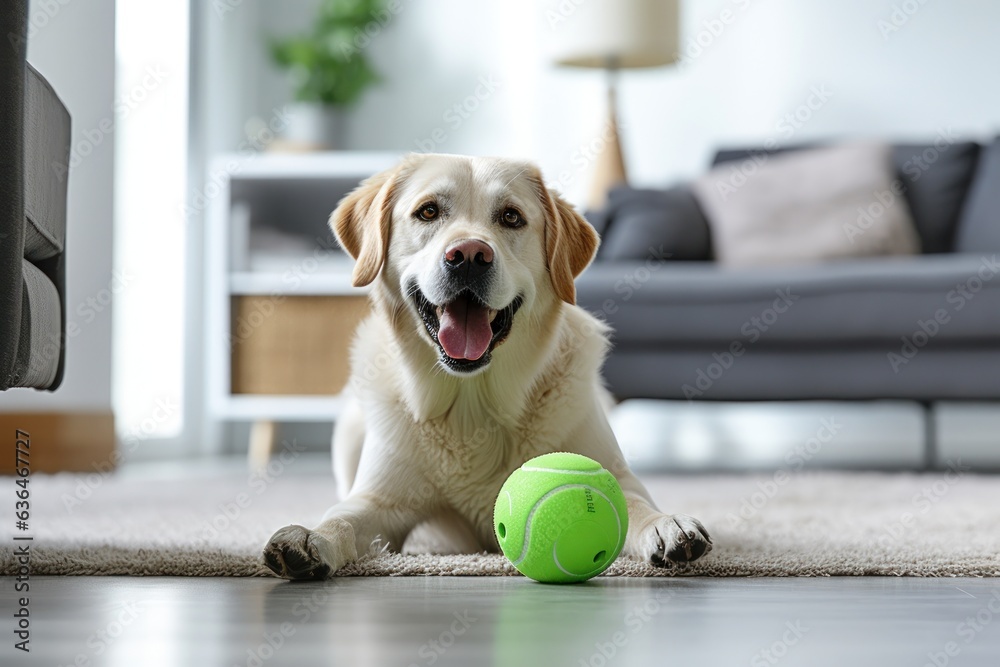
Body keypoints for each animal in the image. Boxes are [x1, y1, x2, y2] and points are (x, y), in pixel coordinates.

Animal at [262, 153, 708, 580]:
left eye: (511, 216)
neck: (472, 402)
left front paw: (668, 524)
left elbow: (634, 504)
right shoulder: (379, 500)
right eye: (428, 211)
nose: (469, 256)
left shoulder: (614, 472)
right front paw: (310, 537)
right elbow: (342, 519)